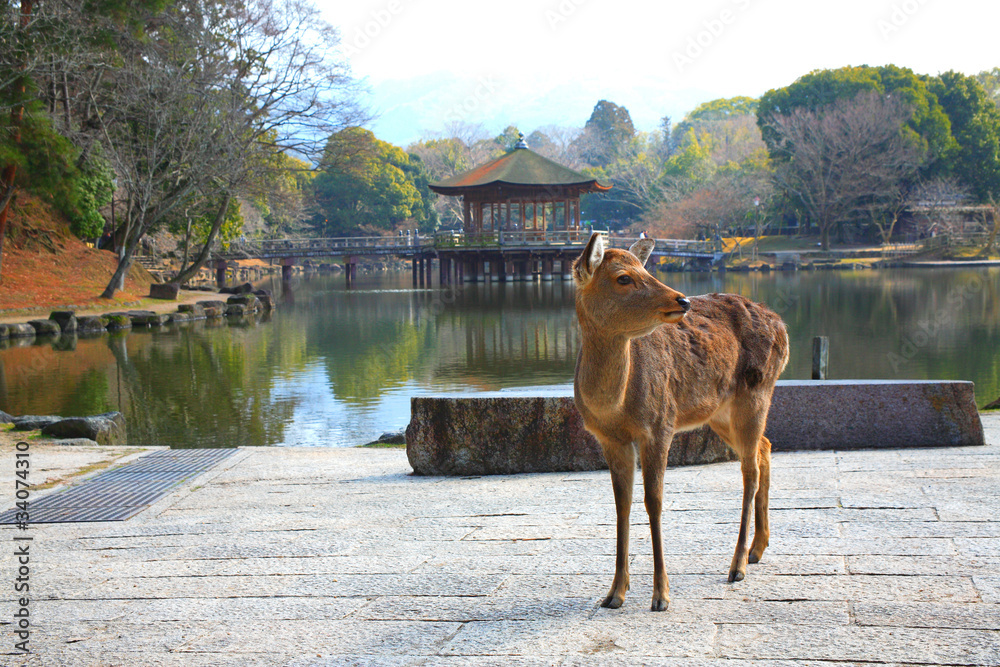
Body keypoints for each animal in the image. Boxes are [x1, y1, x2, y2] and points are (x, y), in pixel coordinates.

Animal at [572, 232, 789, 611]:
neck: (614, 406)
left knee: (750, 470)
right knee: (765, 446)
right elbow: (621, 504)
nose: (683, 300)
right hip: (719, 412)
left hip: (756, 392)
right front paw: (614, 594)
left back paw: (738, 565)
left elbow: (654, 502)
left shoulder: (660, 424)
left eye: (646, 269)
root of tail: (783, 326)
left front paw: (661, 595)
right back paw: (758, 549)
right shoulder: (609, 438)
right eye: (623, 278)